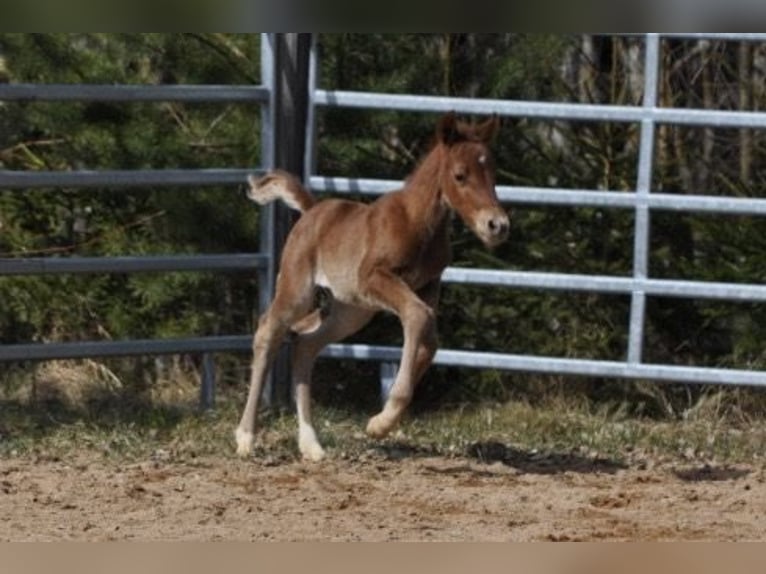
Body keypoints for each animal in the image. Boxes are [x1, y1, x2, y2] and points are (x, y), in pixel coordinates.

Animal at [235, 112, 510, 461]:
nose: (497, 225)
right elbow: (418, 316)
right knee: (268, 331)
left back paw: (311, 444)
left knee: (307, 344)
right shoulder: (374, 276)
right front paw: (382, 422)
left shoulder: (428, 284)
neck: (419, 222)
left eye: (493, 172)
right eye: (460, 175)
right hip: (299, 290)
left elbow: (430, 340)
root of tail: (312, 210)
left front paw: (384, 419)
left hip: (351, 310)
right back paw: (246, 437)